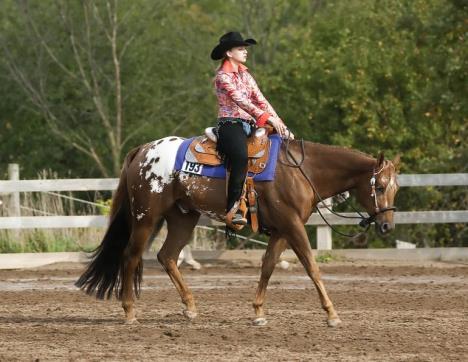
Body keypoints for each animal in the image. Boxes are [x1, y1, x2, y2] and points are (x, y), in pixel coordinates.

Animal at [75, 136, 400, 328]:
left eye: (395, 188)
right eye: (380, 187)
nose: (386, 226)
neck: (301, 170)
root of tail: (142, 151)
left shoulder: (282, 229)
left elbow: (268, 266)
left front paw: (258, 312)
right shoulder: (293, 226)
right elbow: (311, 266)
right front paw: (332, 314)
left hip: (183, 217)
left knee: (167, 256)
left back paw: (190, 307)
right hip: (146, 217)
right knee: (131, 257)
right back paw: (130, 311)